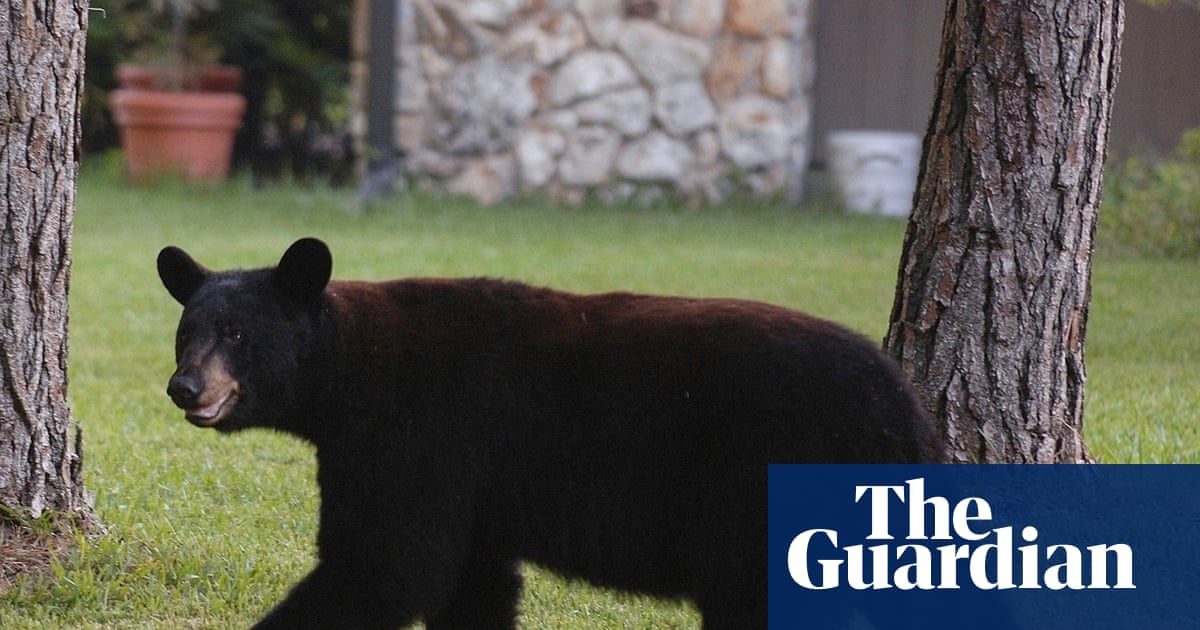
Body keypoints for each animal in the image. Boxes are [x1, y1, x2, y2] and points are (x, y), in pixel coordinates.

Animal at [157, 237, 943, 629]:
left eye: (236, 334)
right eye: (186, 331)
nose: (184, 387)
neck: (347, 374)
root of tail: (903, 401)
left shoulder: (415, 438)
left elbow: (386, 566)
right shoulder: (471, 491)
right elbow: (472, 587)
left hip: (771, 497)